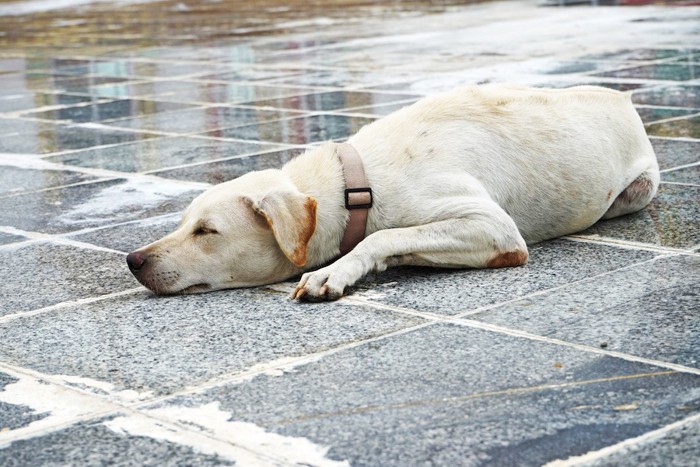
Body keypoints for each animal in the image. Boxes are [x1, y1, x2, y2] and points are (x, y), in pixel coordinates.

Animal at [127, 85, 660, 302]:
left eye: (206, 231)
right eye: (182, 223)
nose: (133, 259)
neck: (354, 184)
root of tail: (620, 95)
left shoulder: (495, 229)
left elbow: (381, 237)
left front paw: (335, 273)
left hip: (639, 190)